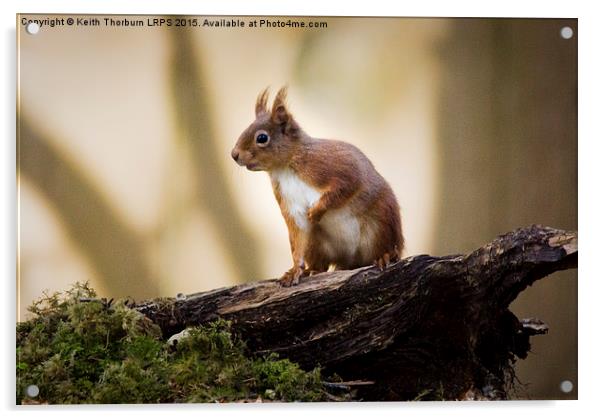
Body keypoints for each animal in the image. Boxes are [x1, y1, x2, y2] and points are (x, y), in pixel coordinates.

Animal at [230, 87, 404, 288]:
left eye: (262, 138)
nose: (234, 154)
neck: (284, 168)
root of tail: (351, 260)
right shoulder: (289, 204)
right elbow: (298, 236)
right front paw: (294, 271)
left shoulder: (335, 167)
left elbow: (346, 187)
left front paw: (316, 212)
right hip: (316, 244)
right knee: (320, 263)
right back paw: (311, 271)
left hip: (382, 224)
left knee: (388, 246)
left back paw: (386, 256)